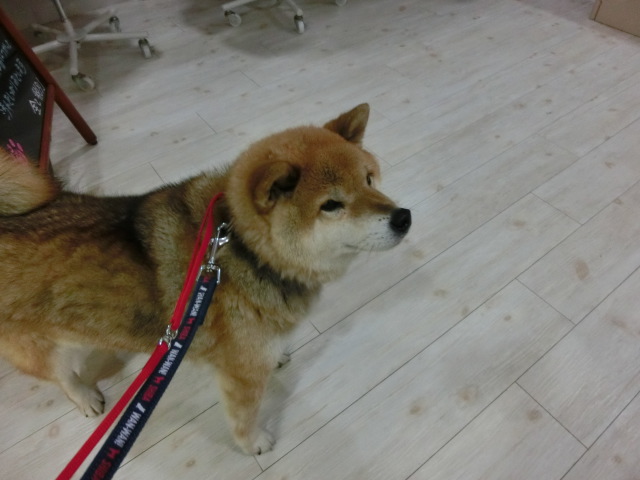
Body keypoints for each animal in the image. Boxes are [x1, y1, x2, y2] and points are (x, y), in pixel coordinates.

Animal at [0, 104, 411, 455]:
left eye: (369, 180)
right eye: (331, 206)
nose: (404, 217)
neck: (246, 249)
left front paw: (278, 354)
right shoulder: (242, 377)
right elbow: (245, 417)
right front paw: (253, 444)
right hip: (46, 348)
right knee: (61, 376)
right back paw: (85, 397)